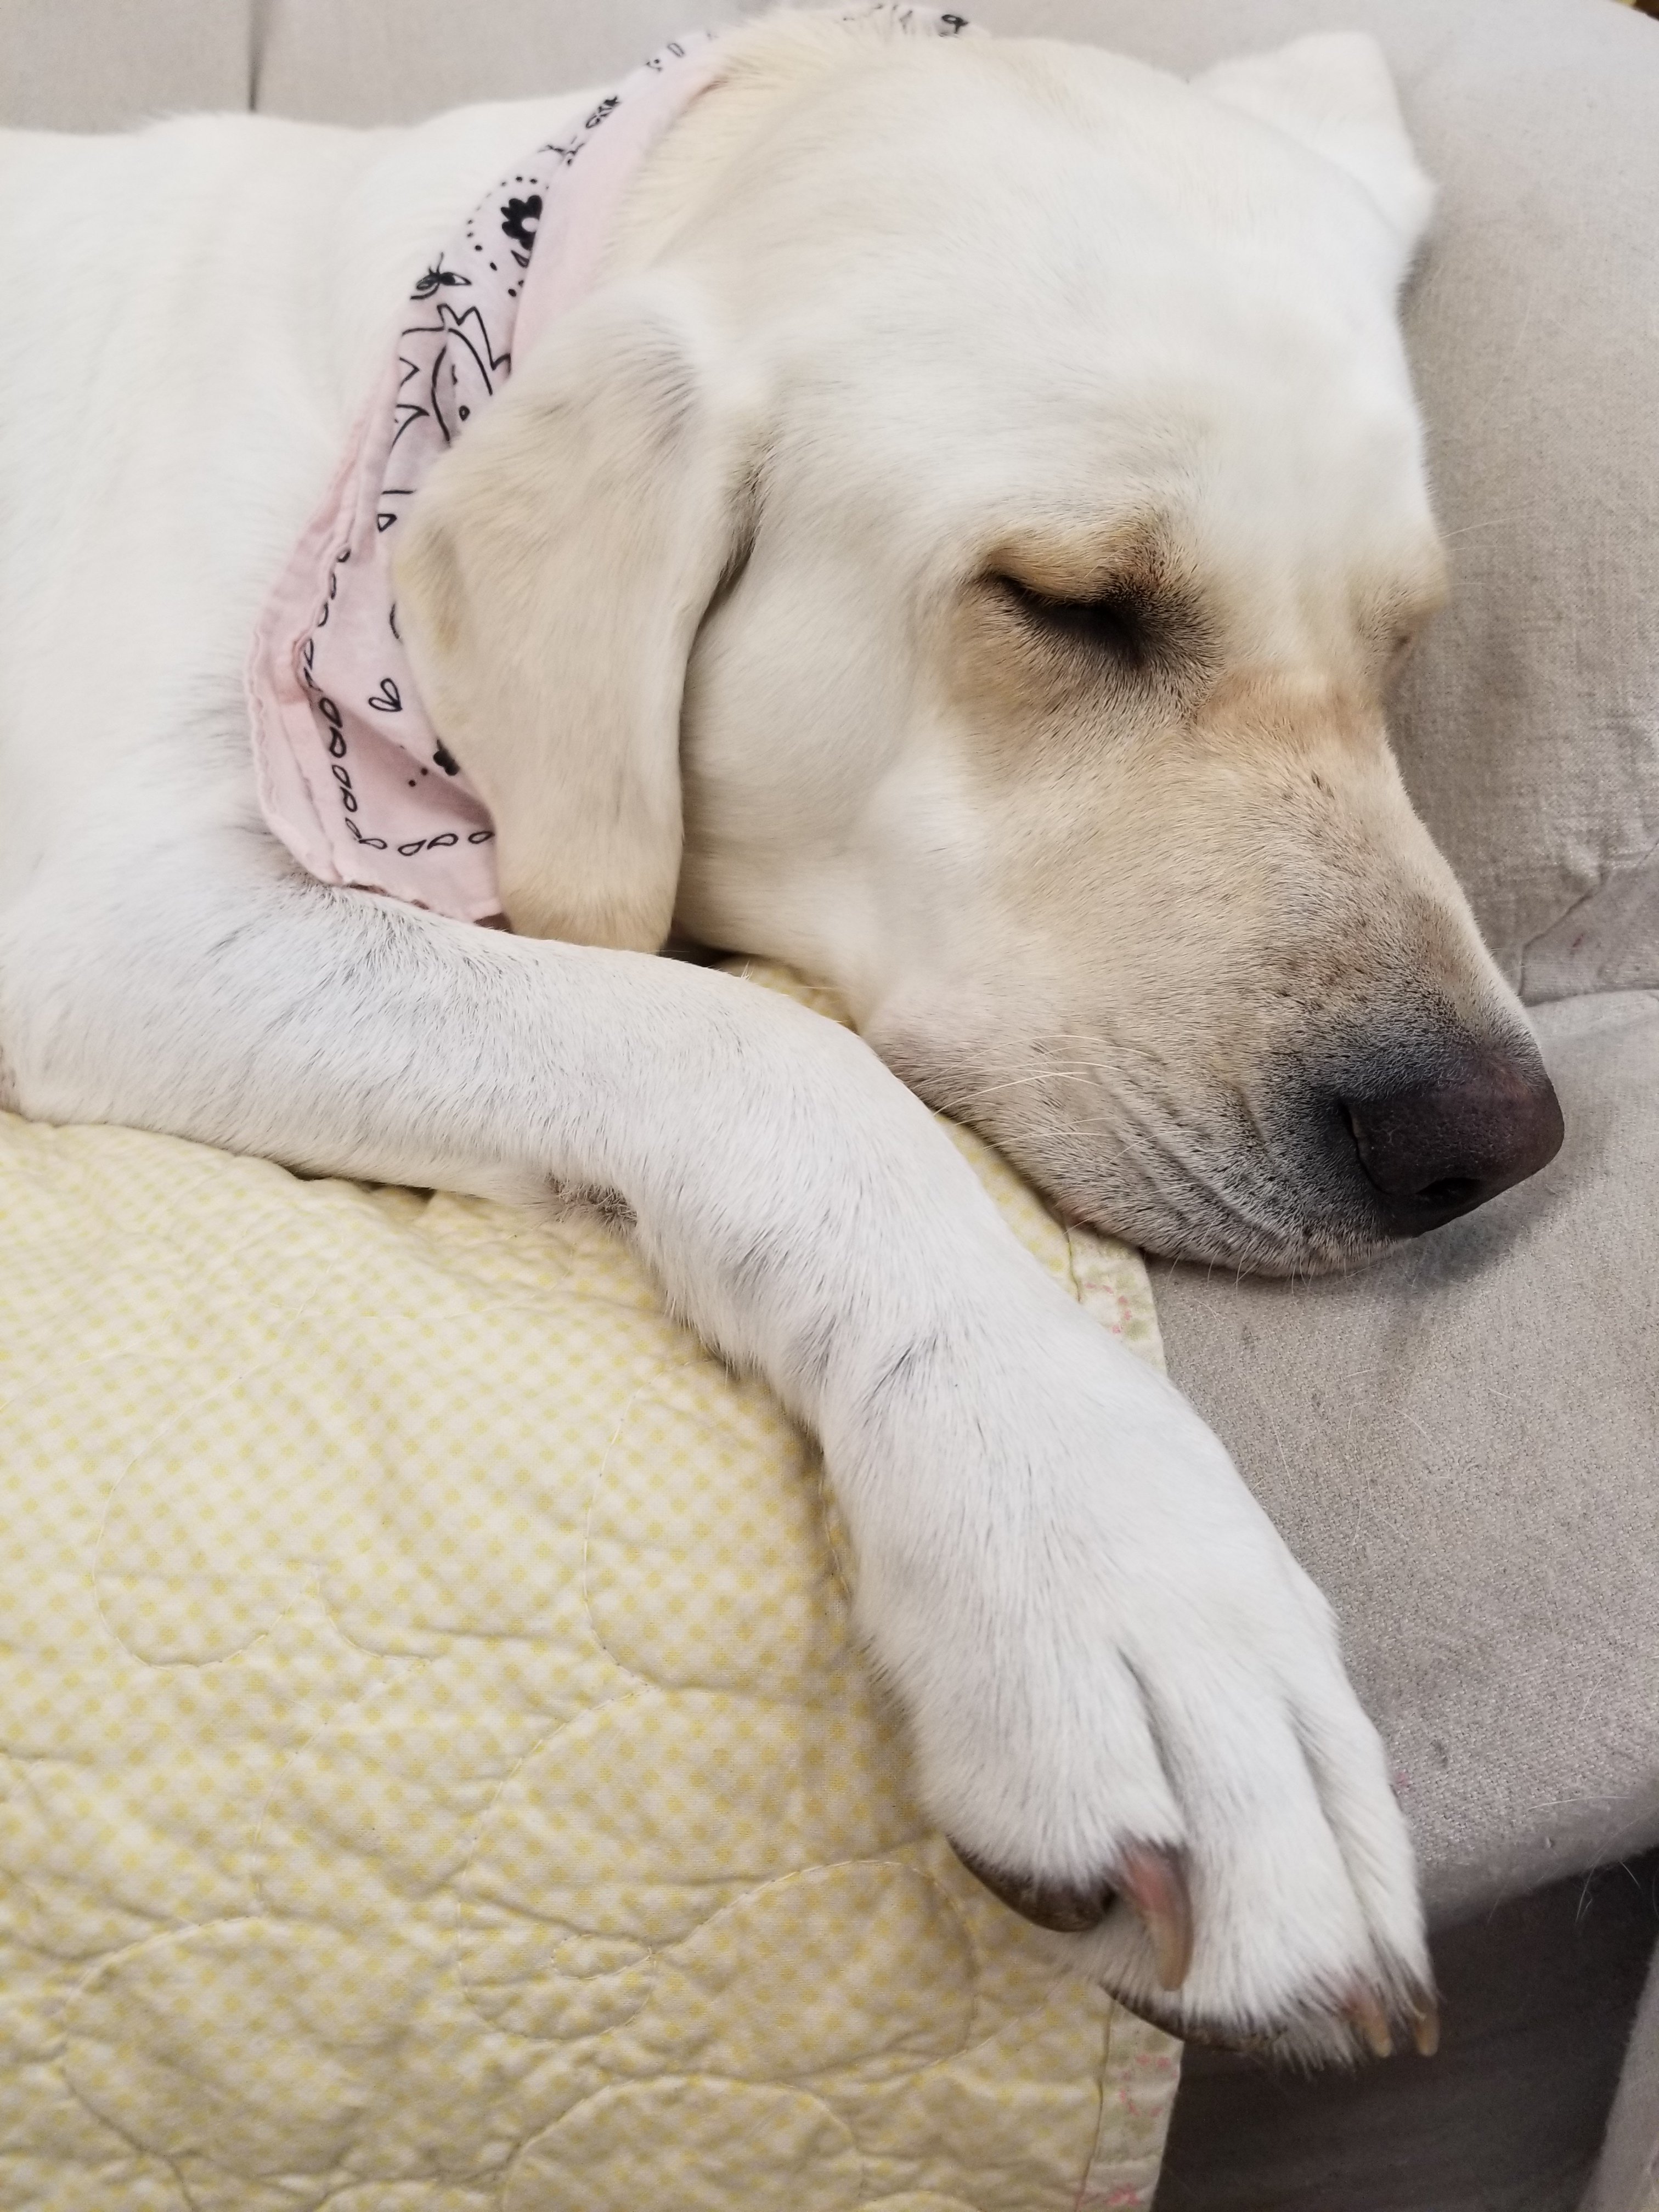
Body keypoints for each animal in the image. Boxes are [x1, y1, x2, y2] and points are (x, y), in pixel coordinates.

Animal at [0, 5, 1563, 2058]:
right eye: (1068, 607)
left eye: (1397, 647)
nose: (1490, 1138)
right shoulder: (113, 914)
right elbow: (768, 1059)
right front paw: (1108, 1559)